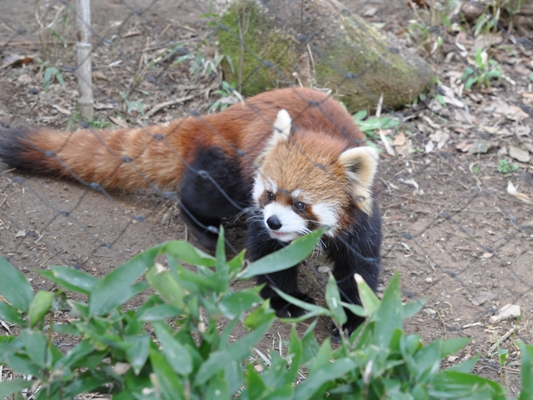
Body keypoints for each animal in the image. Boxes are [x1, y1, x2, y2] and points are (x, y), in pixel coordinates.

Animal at [1, 87, 382, 334]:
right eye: (271, 194)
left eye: (301, 204)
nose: (274, 221)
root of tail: (215, 118)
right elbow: (270, 258)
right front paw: (287, 302)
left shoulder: (359, 224)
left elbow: (358, 270)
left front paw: (353, 318)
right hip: (231, 168)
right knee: (200, 194)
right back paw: (205, 229)